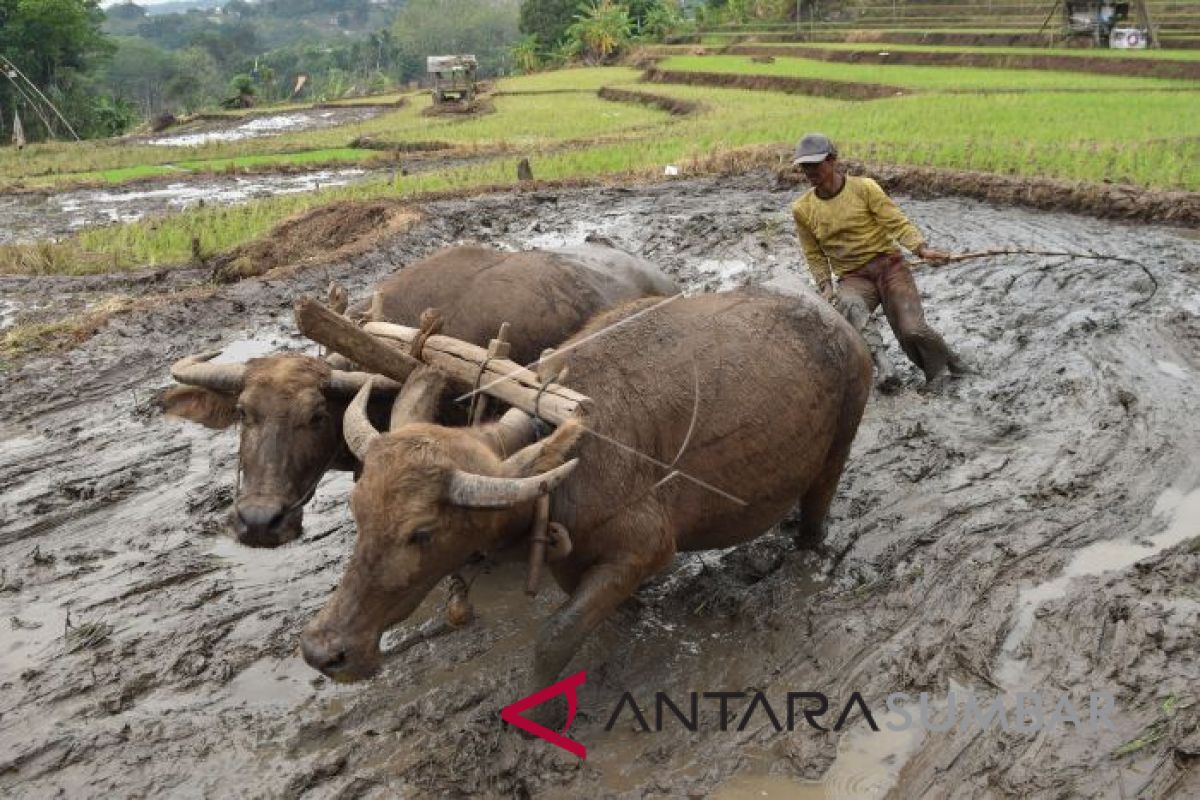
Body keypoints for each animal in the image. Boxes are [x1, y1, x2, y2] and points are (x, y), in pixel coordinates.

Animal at [300, 289, 873, 695]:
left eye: (422, 533)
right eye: (357, 512)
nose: (325, 651)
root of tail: (842, 327)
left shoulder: (644, 551)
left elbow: (552, 641)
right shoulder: (573, 561)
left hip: (837, 452)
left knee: (816, 514)